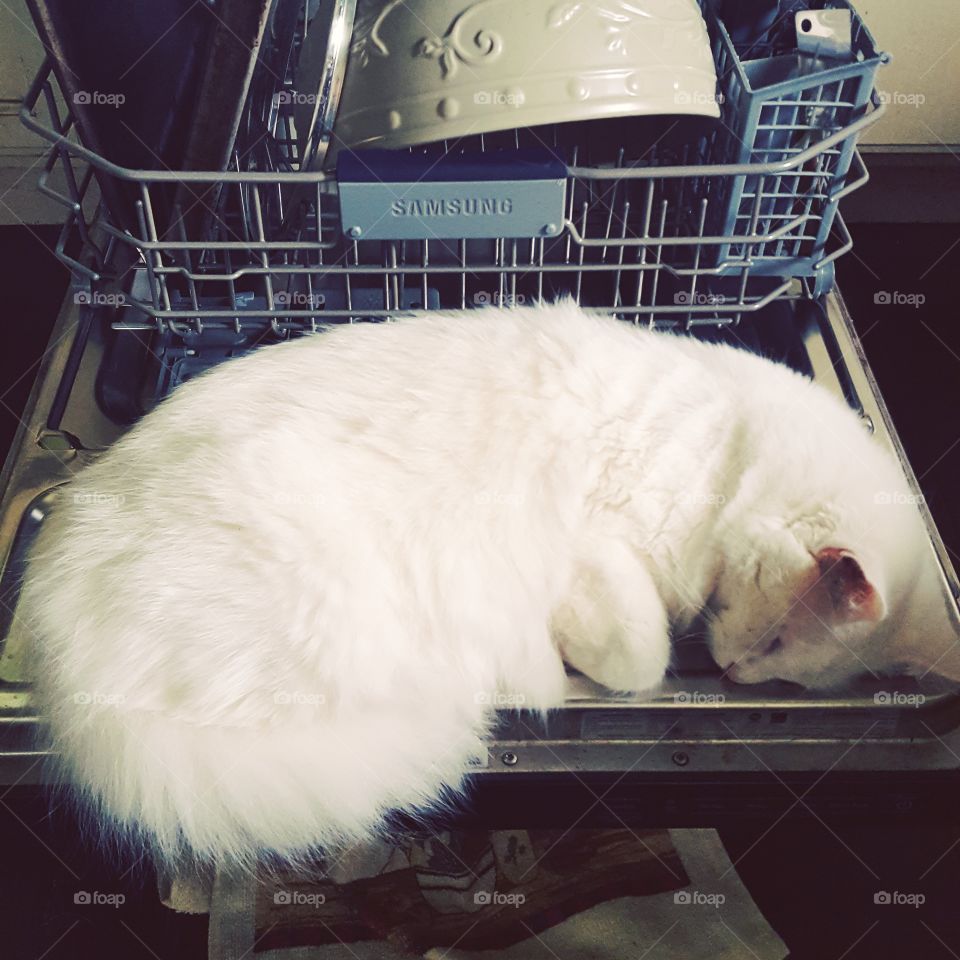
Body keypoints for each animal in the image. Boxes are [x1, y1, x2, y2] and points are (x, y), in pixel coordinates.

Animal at [16, 304, 960, 868]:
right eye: (772, 641)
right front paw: (589, 647)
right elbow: (642, 655)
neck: (734, 451)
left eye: (784, 669)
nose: (734, 676)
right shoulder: (606, 544)